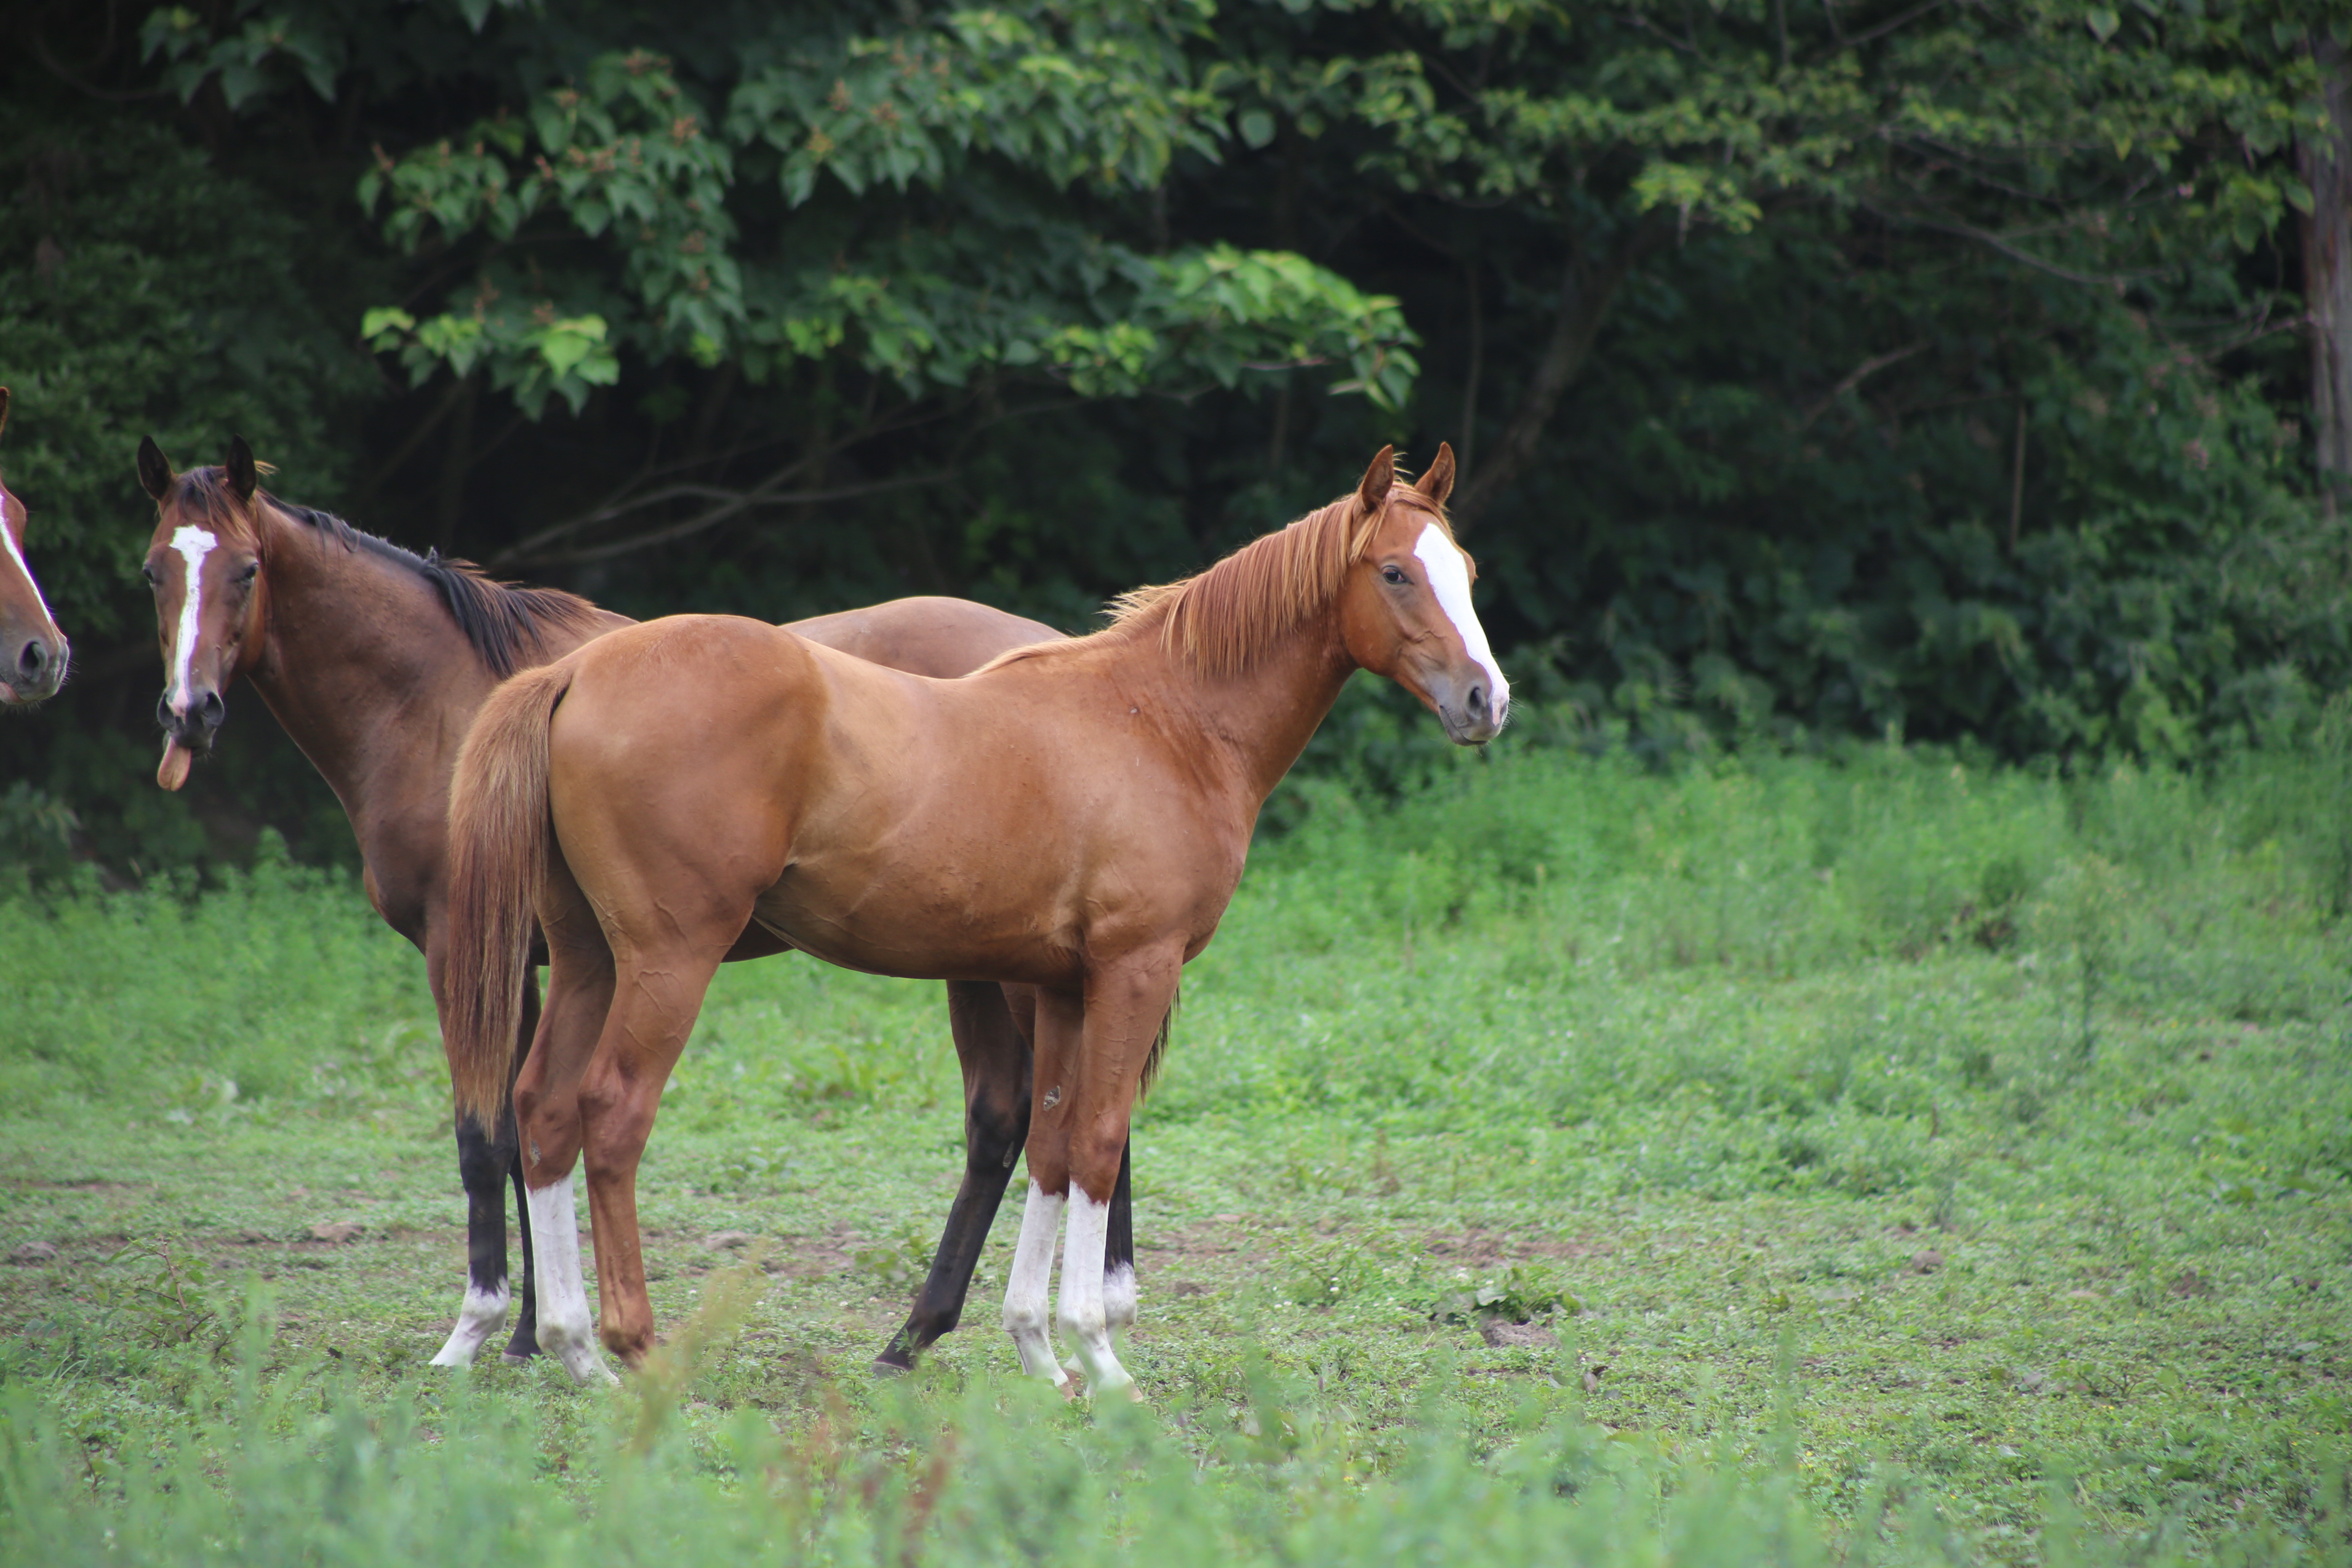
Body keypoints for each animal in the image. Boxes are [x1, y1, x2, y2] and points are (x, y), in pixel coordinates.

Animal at [137, 439, 1119, 1373]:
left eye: (247, 569)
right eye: (154, 571)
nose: (190, 711)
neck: (443, 700)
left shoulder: (466, 954)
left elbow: (484, 1136)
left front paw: (478, 1331)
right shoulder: (539, 964)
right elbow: (530, 1129)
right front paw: (532, 1334)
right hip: (978, 962)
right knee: (1008, 1118)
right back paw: (931, 1336)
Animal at [442, 444, 1505, 1401]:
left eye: (1465, 570)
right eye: (1395, 572)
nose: (1484, 701)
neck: (1166, 717)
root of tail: (577, 671)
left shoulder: (1059, 985)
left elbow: (1051, 1144)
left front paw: (1038, 1348)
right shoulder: (1135, 967)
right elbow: (1099, 1142)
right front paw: (1100, 1358)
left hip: (588, 960)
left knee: (541, 1111)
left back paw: (574, 1349)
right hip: (668, 960)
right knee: (611, 1115)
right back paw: (639, 1350)